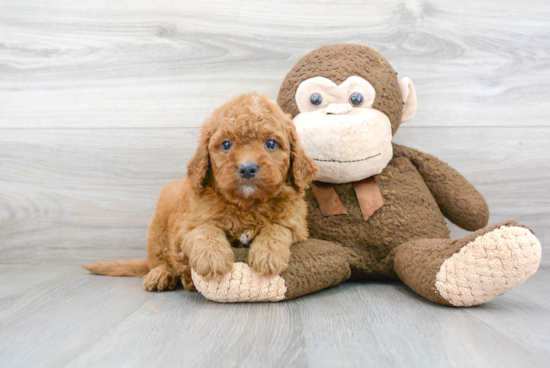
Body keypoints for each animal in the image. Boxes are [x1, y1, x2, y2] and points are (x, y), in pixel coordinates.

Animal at [84, 93, 322, 292]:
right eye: (226, 144)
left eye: (271, 143)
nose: (247, 168)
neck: (247, 205)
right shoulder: (185, 227)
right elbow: (205, 229)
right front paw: (213, 258)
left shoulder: (297, 226)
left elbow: (277, 228)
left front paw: (268, 254)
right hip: (159, 226)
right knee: (159, 259)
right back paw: (162, 275)